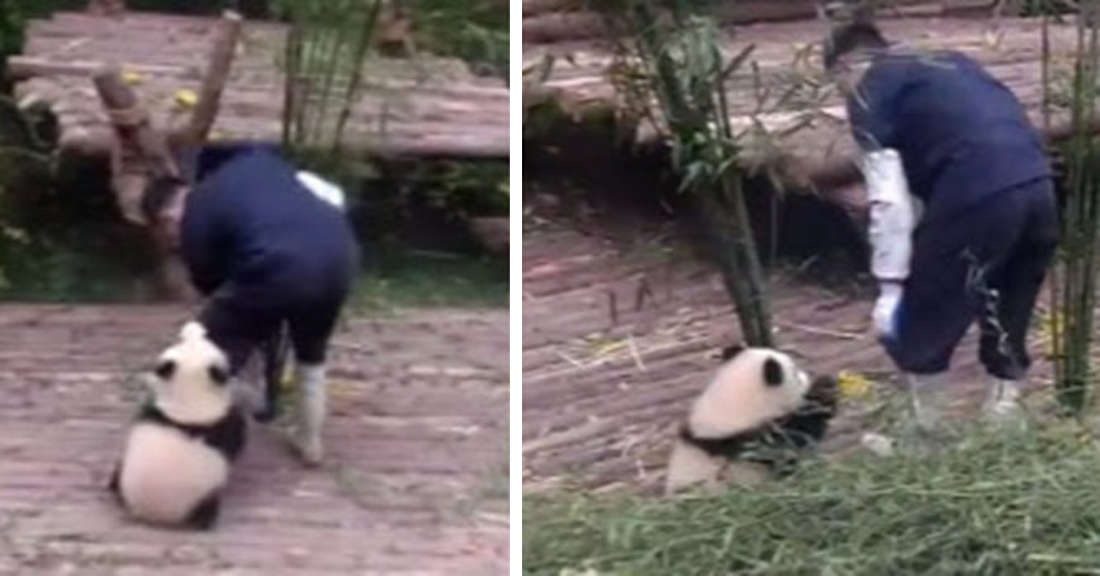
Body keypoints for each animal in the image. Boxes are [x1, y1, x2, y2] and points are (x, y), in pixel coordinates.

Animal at [108, 320, 247, 529]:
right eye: (181, 339)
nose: (194, 326)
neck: (189, 396)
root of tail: (154, 515)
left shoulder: (152, 410)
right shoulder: (223, 423)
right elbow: (238, 437)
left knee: (117, 475)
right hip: (198, 499)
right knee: (207, 507)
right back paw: (205, 522)